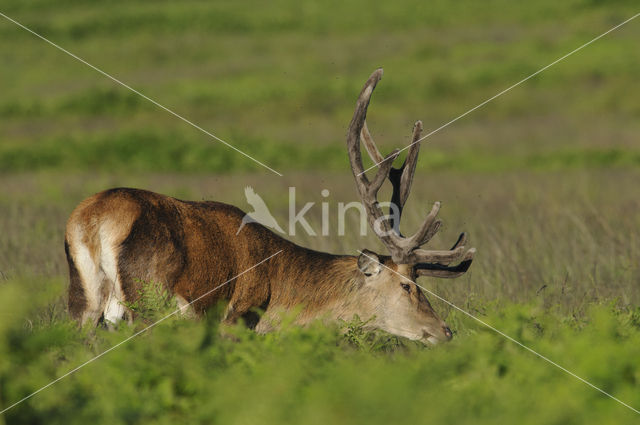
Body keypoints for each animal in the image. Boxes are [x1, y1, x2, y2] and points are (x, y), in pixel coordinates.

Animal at [65, 68, 476, 342]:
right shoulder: (236, 317)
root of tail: (94, 220)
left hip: (82, 301)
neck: (280, 294)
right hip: (150, 301)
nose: (446, 330)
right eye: (407, 285)